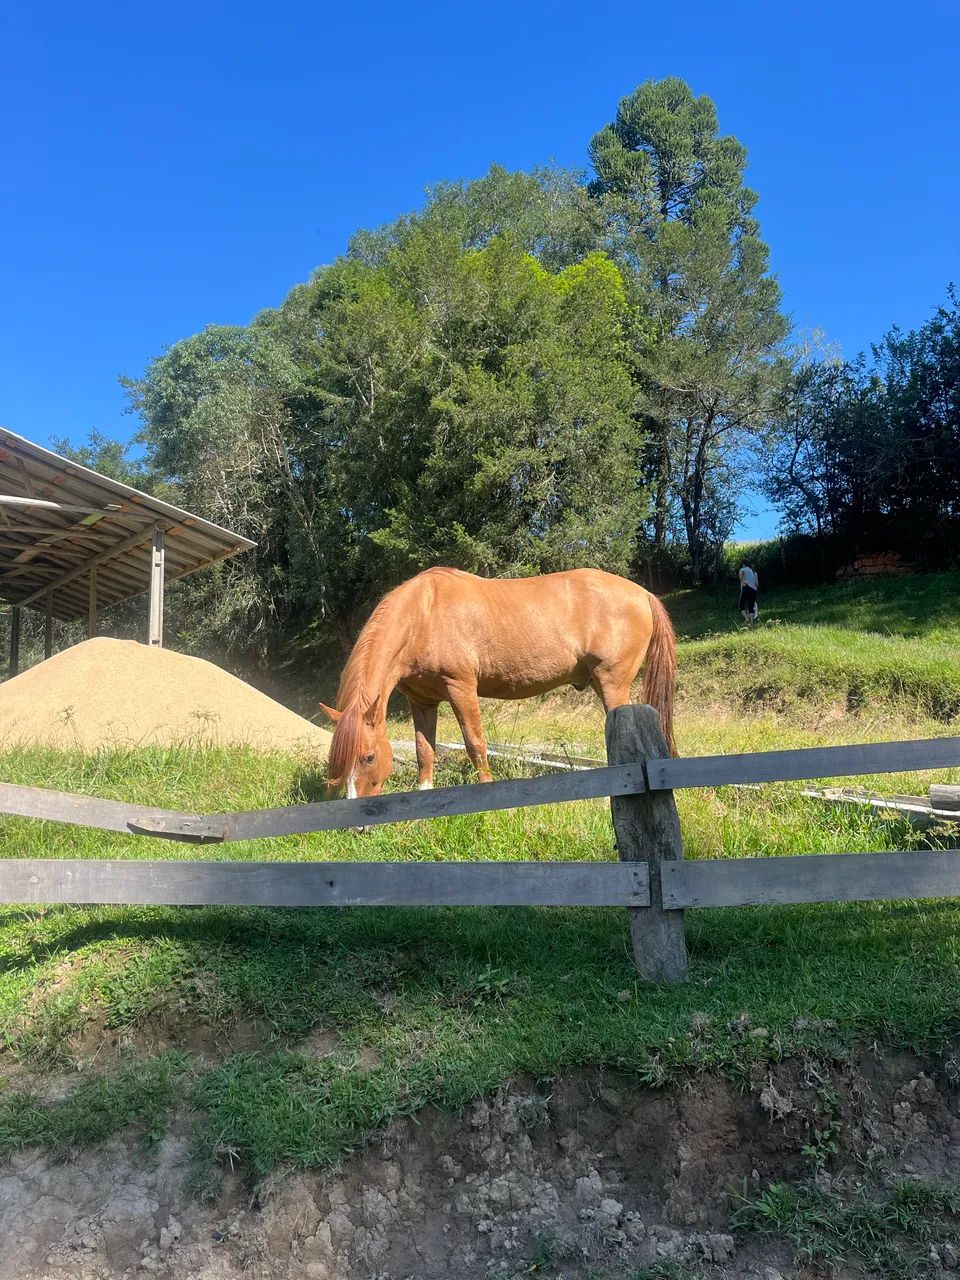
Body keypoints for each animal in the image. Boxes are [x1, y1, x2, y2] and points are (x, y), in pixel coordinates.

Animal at [319, 566, 677, 798]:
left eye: (368, 757)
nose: (358, 823)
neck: (423, 616)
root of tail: (643, 594)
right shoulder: (421, 700)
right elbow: (424, 750)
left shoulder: (461, 687)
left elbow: (475, 742)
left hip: (613, 683)